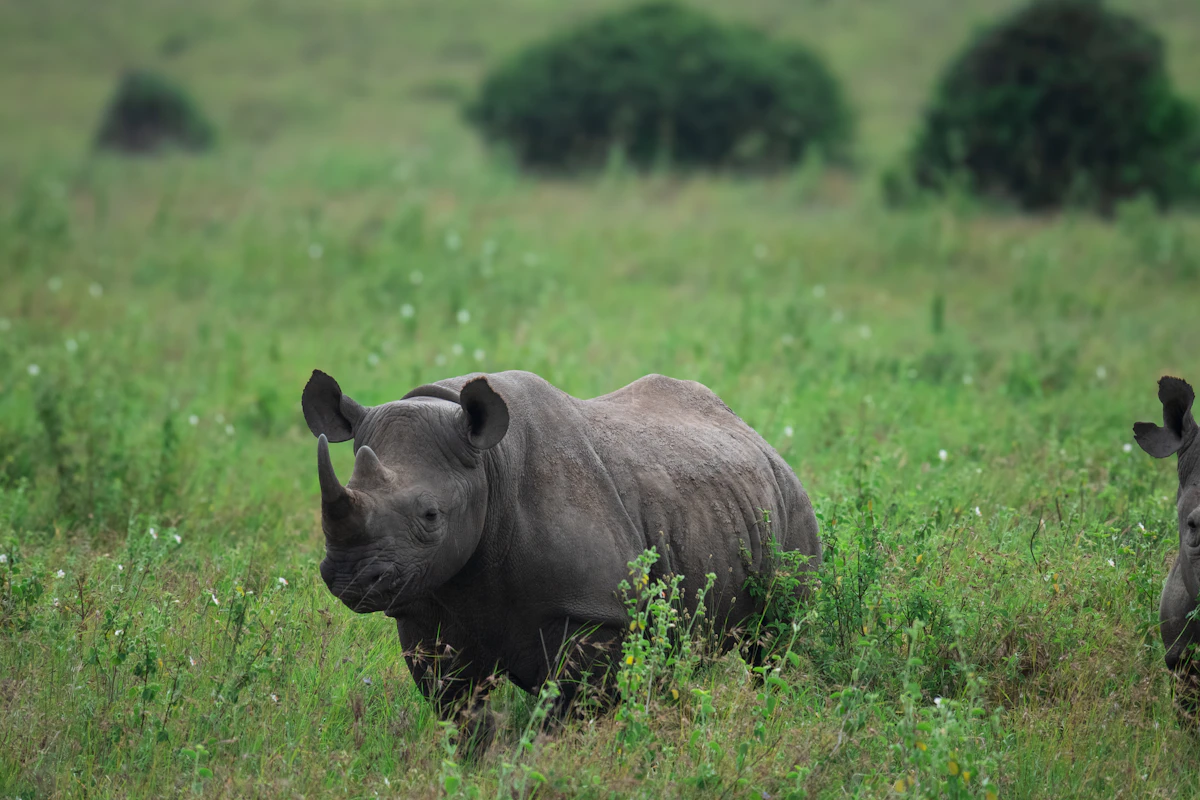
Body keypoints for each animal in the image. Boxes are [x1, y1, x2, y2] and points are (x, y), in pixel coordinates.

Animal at [301, 369, 821, 733]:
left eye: (431, 516)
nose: (348, 576)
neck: (488, 467)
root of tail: (755, 435)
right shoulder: (422, 605)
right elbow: (461, 711)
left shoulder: (594, 613)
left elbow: (571, 712)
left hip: (790, 502)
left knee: (777, 638)